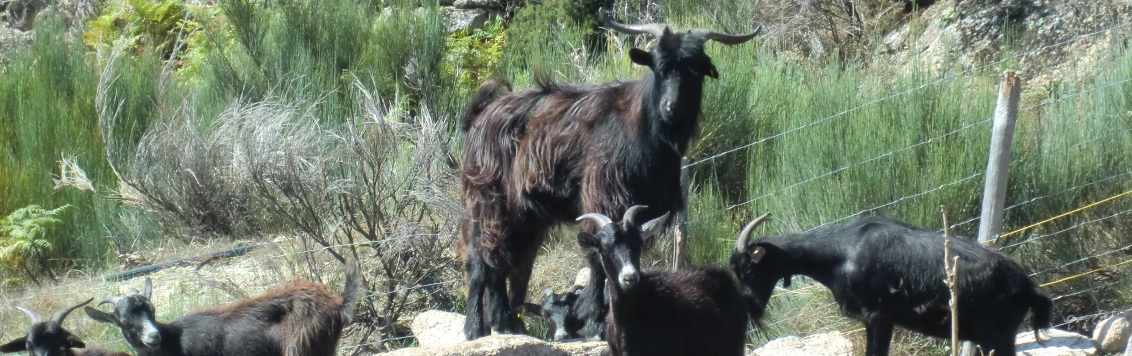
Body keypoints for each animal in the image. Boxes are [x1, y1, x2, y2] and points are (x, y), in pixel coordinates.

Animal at [457, 11, 760, 340]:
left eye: (694, 70)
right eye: (659, 65)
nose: (671, 108)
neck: (643, 132)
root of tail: (481, 114)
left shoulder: (646, 206)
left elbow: (627, 251)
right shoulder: (602, 195)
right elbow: (599, 257)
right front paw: (595, 322)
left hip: (525, 215)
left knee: (507, 259)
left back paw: (506, 324)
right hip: (488, 198)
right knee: (480, 257)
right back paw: (475, 328)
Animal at [729, 214, 1055, 356]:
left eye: (748, 269)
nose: (748, 305)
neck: (841, 252)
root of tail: (1029, 288)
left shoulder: (879, 316)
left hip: (998, 337)